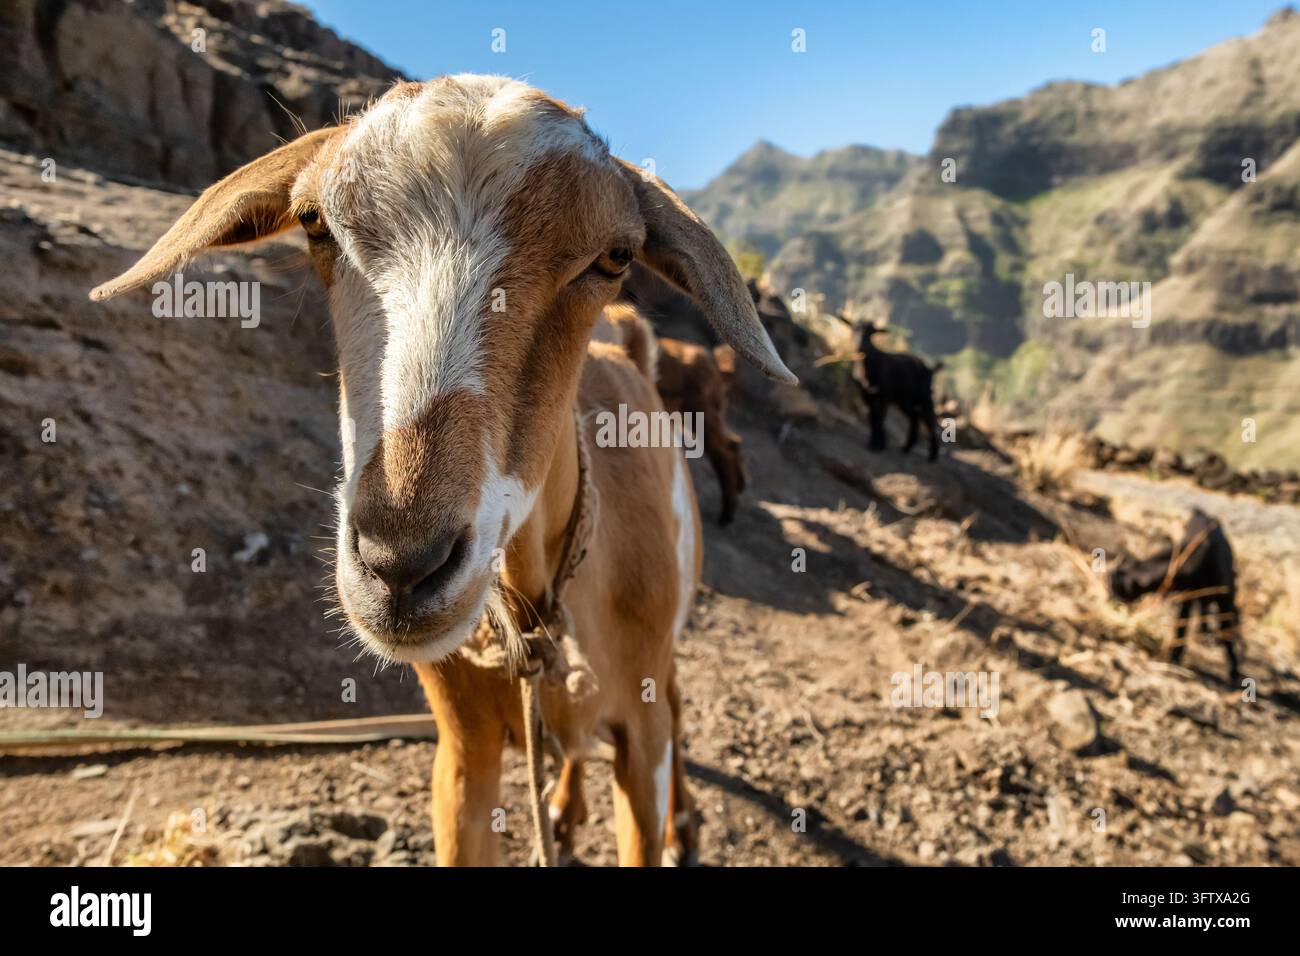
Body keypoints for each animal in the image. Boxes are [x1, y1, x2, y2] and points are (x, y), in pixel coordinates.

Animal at [851, 322, 943, 461]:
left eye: (871, 332)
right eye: (854, 328)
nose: (859, 345)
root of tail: (929, 368)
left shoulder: (885, 395)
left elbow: (879, 418)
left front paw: (878, 446)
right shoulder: (867, 395)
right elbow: (873, 418)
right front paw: (874, 443)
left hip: (924, 396)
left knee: (930, 420)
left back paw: (933, 455)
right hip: (905, 400)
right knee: (915, 417)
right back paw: (906, 447)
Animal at [1108, 509, 1243, 682]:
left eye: (1118, 588)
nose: (1109, 601)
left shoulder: (1225, 595)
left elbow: (1227, 631)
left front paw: (1234, 672)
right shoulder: (1185, 596)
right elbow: (1181, 627)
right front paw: (1174, 659)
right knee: (1202, 609)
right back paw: (1204, 633)